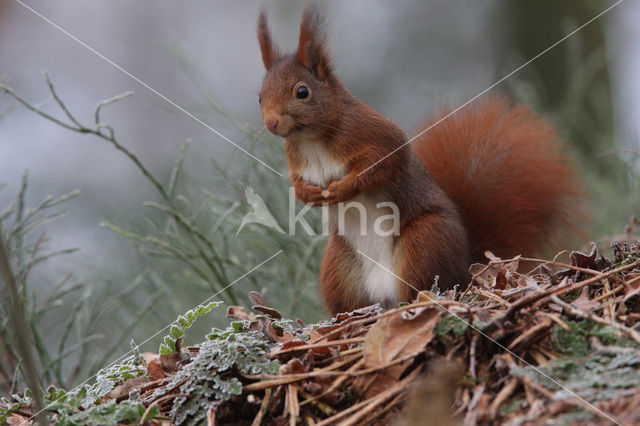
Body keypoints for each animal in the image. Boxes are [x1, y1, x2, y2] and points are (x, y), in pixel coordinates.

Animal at [256, 5, 584, 314]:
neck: (312, 141)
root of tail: (465, 269)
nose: (271, 123)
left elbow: (382, 164)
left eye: (302, 92)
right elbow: (297, 181)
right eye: (260, 96)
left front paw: (342, 189)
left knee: (421, 286)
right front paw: (306, 193)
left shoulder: (373, 135)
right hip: (339, 266)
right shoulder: (298, 160)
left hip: (424, 242)